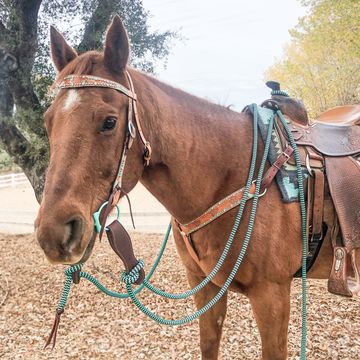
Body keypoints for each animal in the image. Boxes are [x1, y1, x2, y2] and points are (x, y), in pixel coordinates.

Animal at [34, 15, 358, 358]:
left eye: (109, 122)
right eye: (48, 121)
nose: (53, 233)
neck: (234, 174)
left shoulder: (273, 296)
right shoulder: (205, 286)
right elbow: (208, 344)